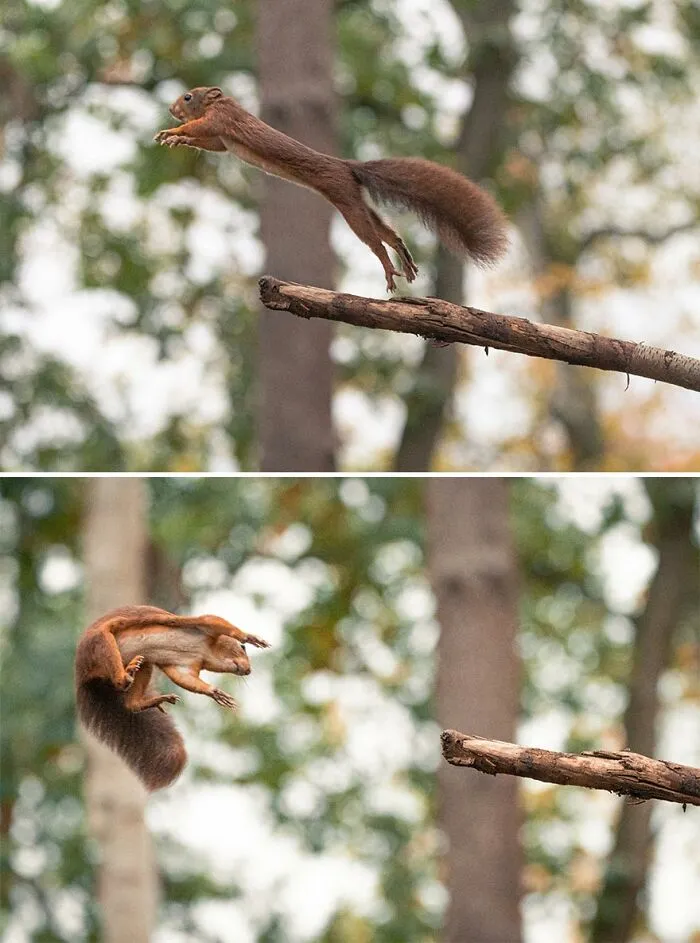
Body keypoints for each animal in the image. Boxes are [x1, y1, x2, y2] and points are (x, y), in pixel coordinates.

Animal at [75, 605, 269, 791]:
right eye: (242, 648)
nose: (248, 670)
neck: (208, 653)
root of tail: (83, 674)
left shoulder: (183, 667)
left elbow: (187, 680)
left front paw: (214, 692)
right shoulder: (201, 627)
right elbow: (213, 620)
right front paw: (250, 637)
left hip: (145, 663)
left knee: (132, 703)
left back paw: (153, 699)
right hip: (102, 644)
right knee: (113, 663)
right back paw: (126, 675)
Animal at [154, 86, 508, 292]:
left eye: (188, 96)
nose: (171, 109)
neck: (225, 103)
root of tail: (346, 166)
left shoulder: (220, 121)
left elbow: (200, 128)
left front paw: (172, 132)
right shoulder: (220, 138)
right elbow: (209, 143)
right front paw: (176, 139)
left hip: (347, 204)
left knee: (375, 241)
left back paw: (389, 270)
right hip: (357, 201)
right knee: (388, 232)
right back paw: (405, 262)